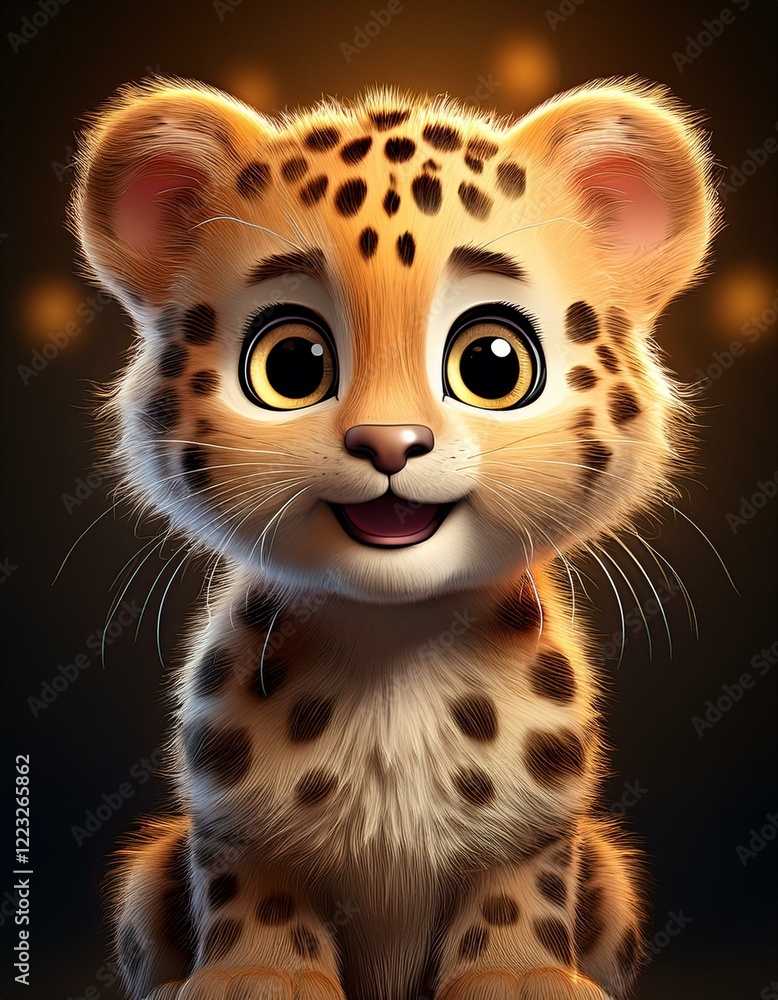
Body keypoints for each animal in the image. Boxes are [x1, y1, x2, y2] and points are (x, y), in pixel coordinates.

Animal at [70, 75, 718, 1000]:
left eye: (492, 362)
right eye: (292, 364)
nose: (388, 444)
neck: (394, 646)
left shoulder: (542, 829)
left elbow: (520, 884)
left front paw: (520, 977)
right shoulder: (231, 824)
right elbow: (253, 884)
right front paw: (258, 976)